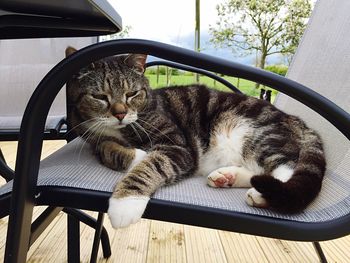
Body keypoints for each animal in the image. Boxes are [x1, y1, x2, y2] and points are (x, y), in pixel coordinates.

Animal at [65, 47, 326, 229]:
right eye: (100, 96)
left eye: (132, 93)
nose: (119, 113)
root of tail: (295, 119)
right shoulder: (93, 136)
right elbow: (106, 148)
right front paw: (134, 155)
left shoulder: (178, 147)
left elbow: (152, 165)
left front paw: (125, 201)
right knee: (260, 171)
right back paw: (227, 177)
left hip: (258, 135)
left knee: (286, 168)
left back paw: (263, 195)